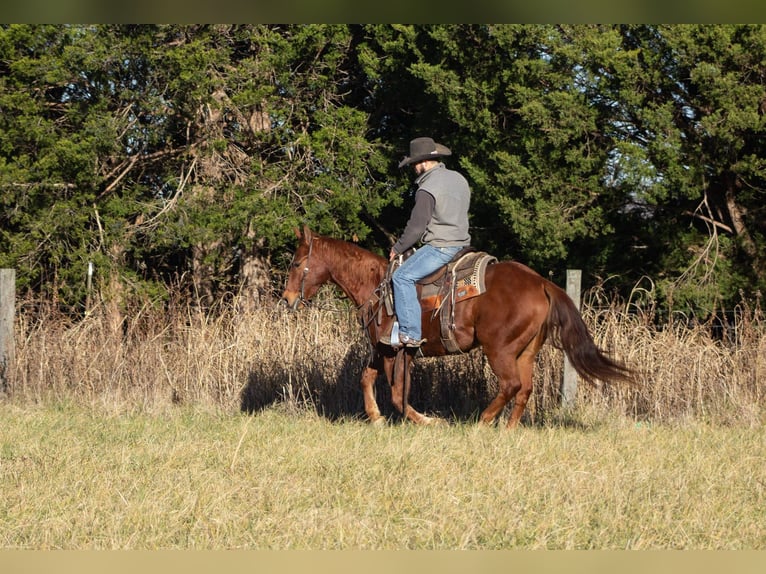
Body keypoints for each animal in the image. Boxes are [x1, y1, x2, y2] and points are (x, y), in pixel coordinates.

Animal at [282, 227, 636, 430]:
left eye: (297, 263)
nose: (287, 299)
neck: (376, 287)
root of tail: (541, 283)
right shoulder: (382, 350)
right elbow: (366, 379)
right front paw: (377, 418)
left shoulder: (396, 351)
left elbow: (397, 393)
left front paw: (426, 420)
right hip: (526, 351)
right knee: (524, 389)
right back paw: (507, 429)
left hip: (500, 349)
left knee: (510, 385)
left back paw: (483, 422)